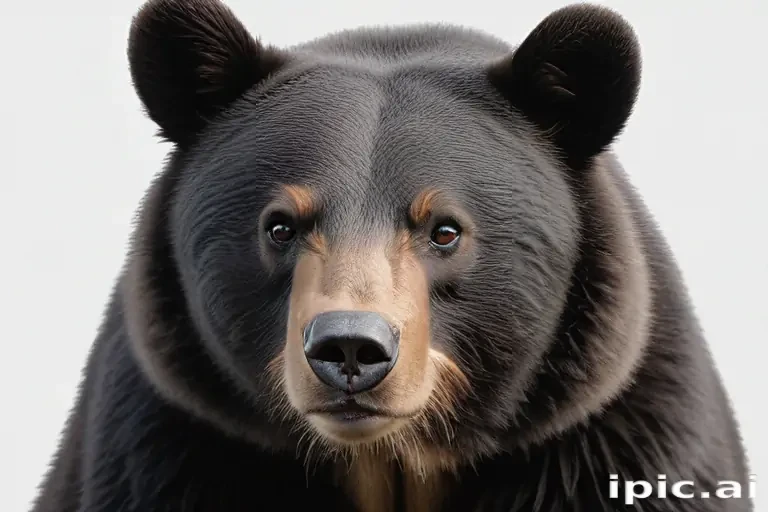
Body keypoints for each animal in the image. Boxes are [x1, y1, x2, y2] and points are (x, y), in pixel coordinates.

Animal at [31, 0, 752, 511]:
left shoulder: (613, 441)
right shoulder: (169, 442)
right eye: (280, 227)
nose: (350, 349)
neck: (389, 461)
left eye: (445, 230)